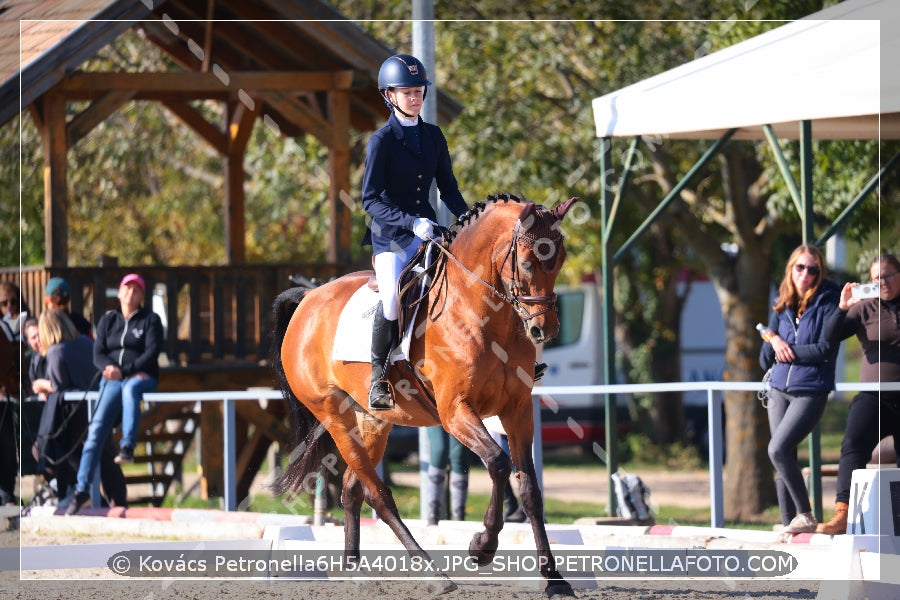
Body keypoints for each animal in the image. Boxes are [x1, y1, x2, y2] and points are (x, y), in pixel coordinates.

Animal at [270, 192, 576, 596]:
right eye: (526, 262)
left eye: (561, 259)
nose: (545, 329)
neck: (481, 311)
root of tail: (308, 299)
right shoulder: (455, 411)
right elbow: (497, 463)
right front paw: (482, 546)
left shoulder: (517, 410)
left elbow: (530, 490)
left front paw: (555, 580)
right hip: (333, 415)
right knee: (378, 495)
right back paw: (434, 575)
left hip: (373, 421)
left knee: (353, 488)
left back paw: (354, 570)